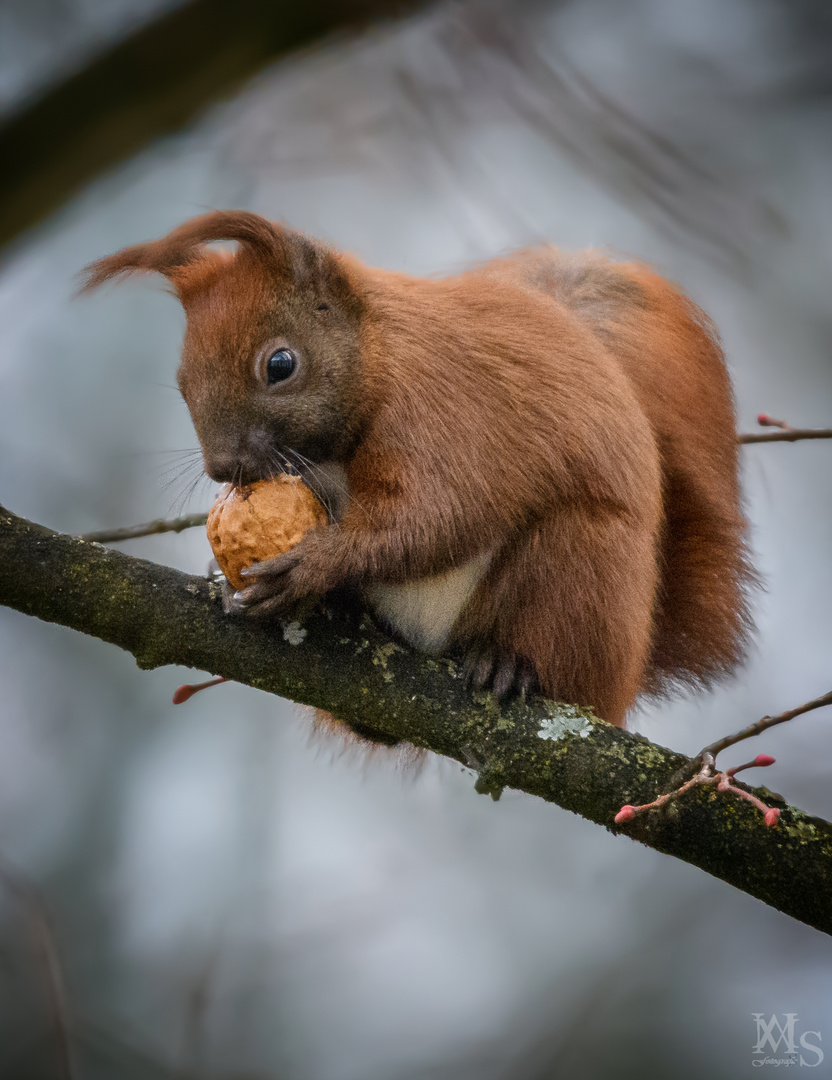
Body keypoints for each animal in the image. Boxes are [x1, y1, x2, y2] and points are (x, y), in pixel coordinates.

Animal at [82, 210, 752, 725]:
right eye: (180, 383)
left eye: (280, 364)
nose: (223, 469)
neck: (378, 354)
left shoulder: (443, 409)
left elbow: (435, 513)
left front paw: (314, 566)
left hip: (582, 570)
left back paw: (509, 663)